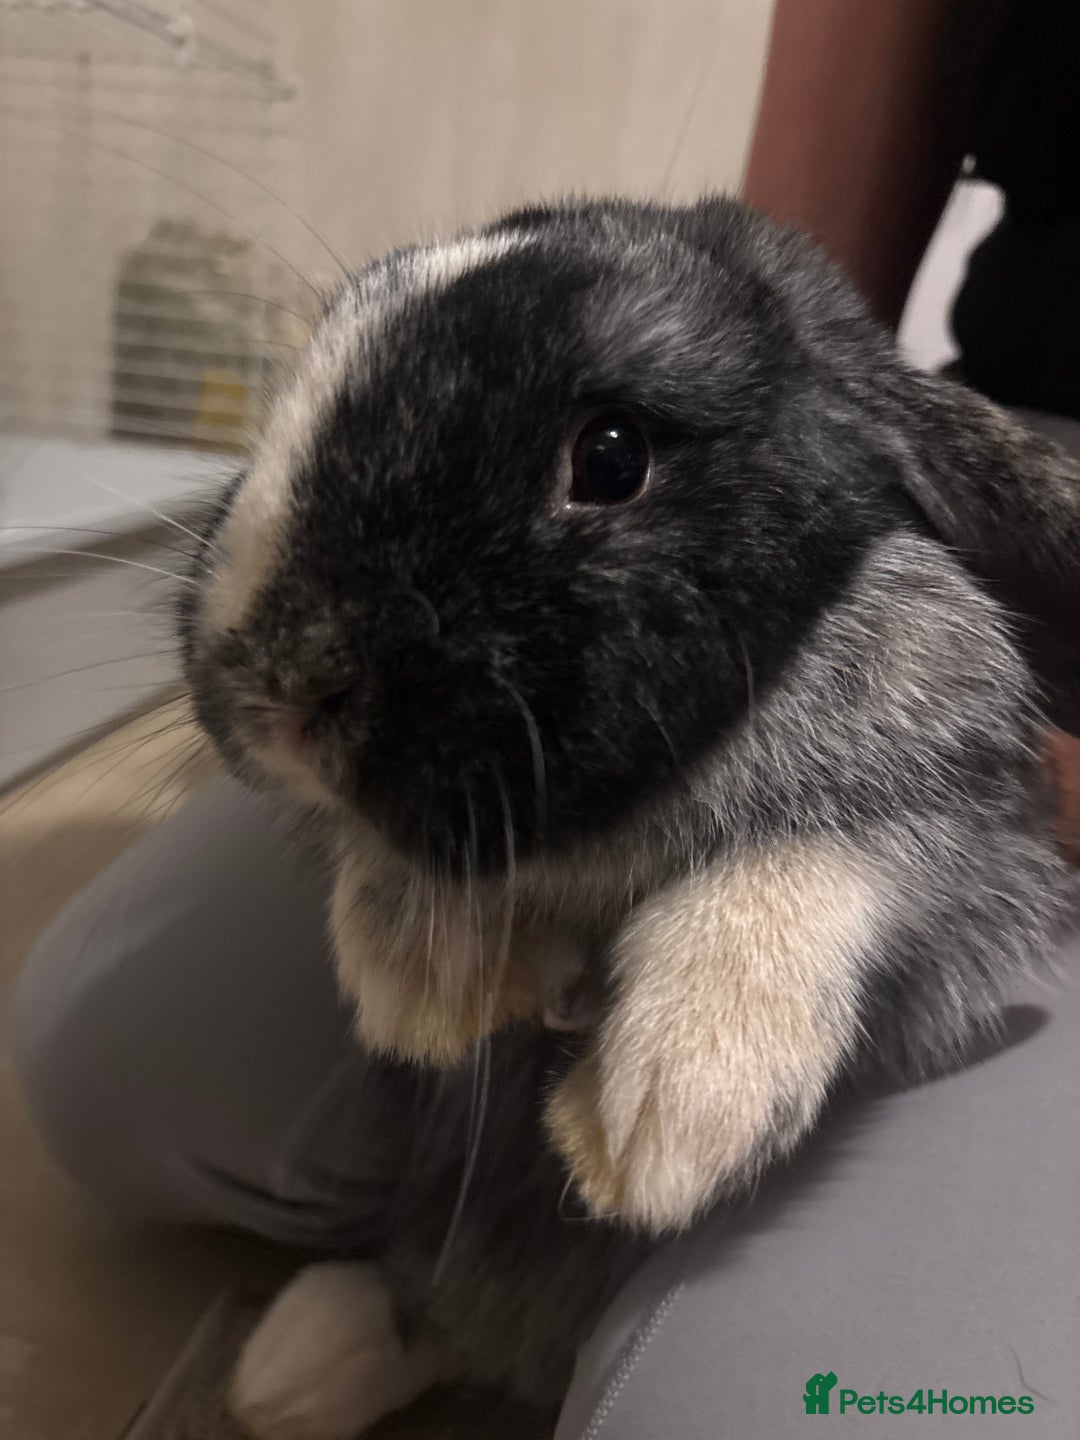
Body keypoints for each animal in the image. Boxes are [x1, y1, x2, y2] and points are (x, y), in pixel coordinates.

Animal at [177, 196, 1080, 1439]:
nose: (278, 687)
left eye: (610, 457)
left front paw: (667, 1114)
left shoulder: (970, 838)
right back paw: (295, 1365)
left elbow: (826, 859)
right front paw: (422, 981)